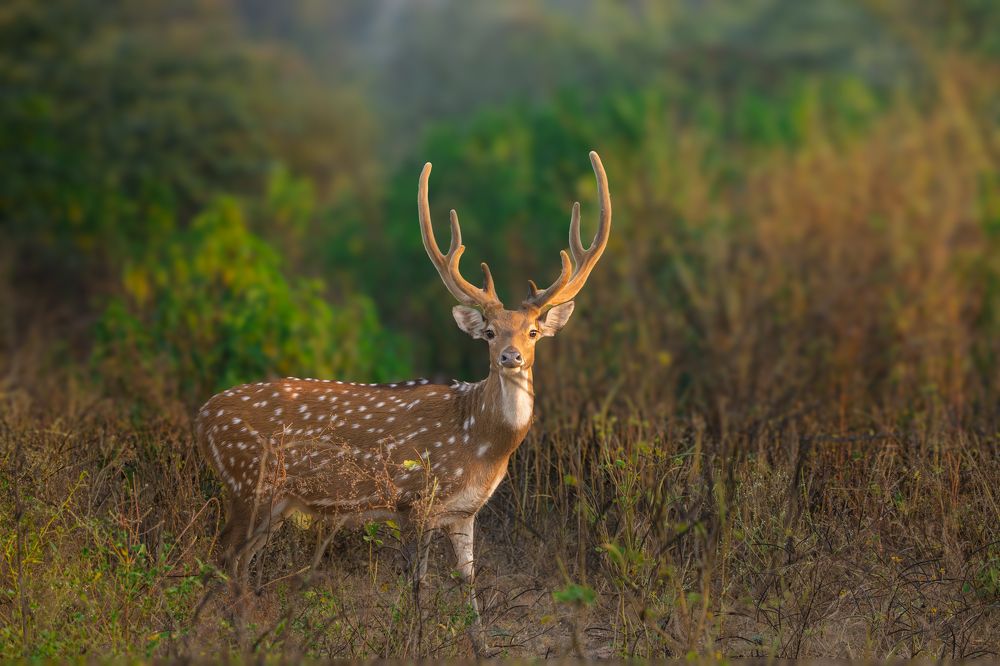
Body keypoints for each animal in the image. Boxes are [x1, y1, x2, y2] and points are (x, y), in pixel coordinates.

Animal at [195, 151, 611, 651]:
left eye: (532, 332)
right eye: (490, 333)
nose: (510, 357)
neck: (480, 442)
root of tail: (201, 417)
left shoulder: (464, 512)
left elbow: (468, 584)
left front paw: (481, 648)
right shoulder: (414, 499)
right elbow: (418, 583)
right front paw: (415, 642)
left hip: (273, 503)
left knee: (236, 564)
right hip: (247, 485)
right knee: (220, 557)